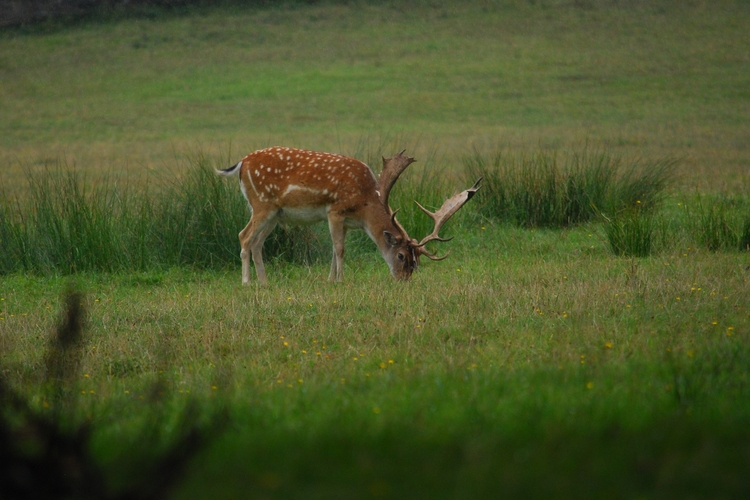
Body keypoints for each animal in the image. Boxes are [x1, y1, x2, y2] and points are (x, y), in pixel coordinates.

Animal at [214, 146, 482, 284]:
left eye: (417, 261)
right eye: (402, 256)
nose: (404, 279)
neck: (364, 203)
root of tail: (241, 164)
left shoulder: (345, 221)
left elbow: (335, 249)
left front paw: (331, 280)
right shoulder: (335, 210)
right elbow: (340, 249)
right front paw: (340, 280)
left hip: (275, 215)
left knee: (257, 242)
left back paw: (264, 282)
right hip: (262, 204)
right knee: (244, 236)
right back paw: (247, 282)